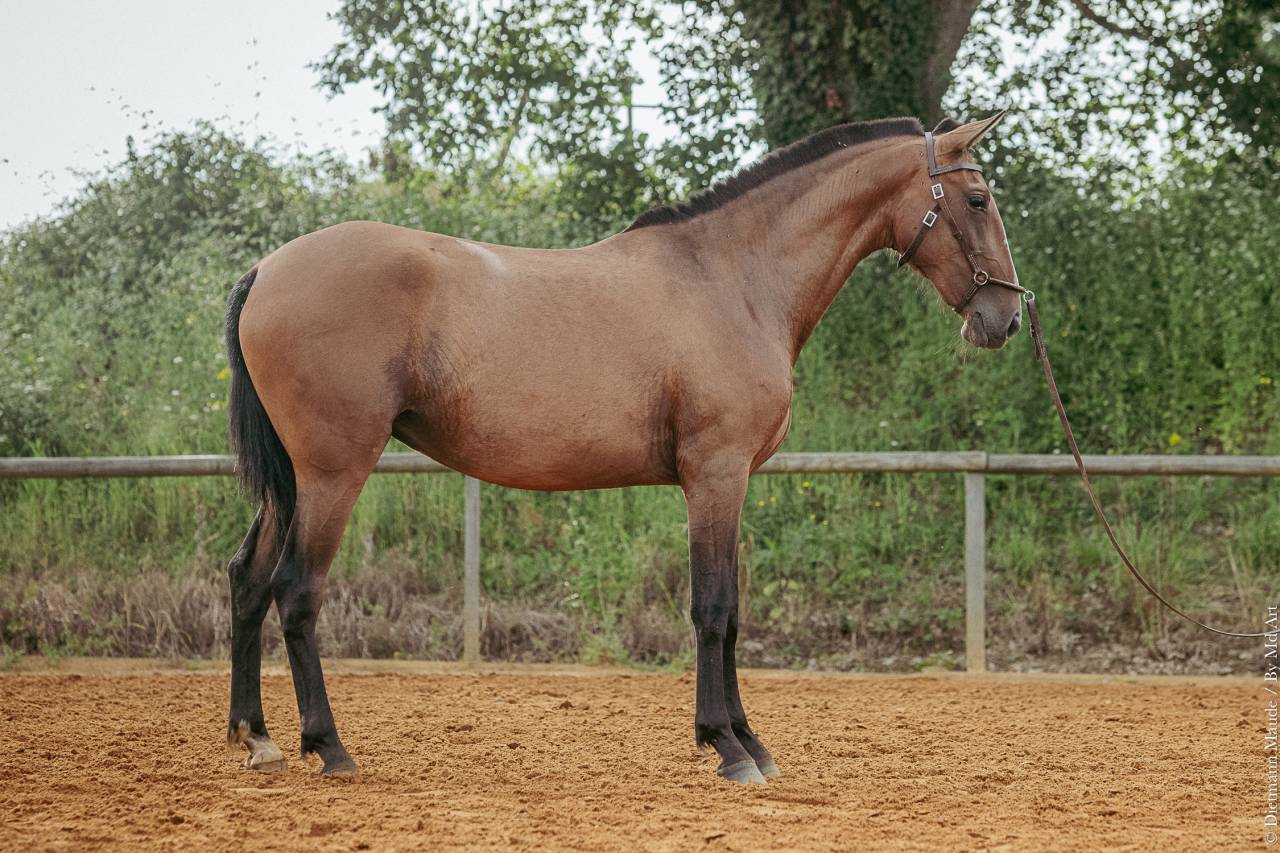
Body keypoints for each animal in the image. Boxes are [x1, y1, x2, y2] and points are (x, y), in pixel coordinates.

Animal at [223, 113, 1022, 784]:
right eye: (978, 198)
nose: (1006, 317)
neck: (732, 279)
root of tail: (266, 270)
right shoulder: (715, 475)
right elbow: (713, 607)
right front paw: (727, 745)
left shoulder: (733, 482)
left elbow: (733, 610)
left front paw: (747, 738)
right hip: (333, 473)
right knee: (296, 590)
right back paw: (328, 746)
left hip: (292, 481)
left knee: (248, 580)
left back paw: (257, 737)